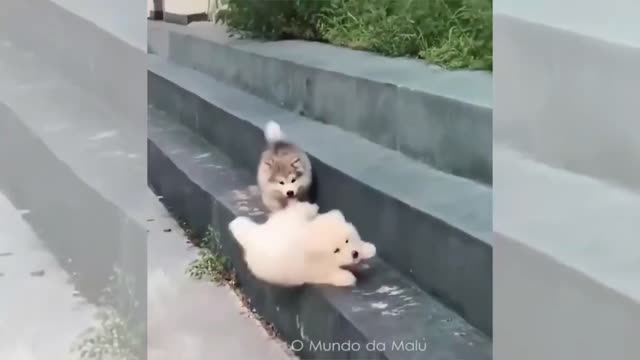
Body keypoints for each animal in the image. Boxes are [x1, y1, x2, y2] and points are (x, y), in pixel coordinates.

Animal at [228, 202, 376, 286]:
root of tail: (254, 233)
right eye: (336, 250)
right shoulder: (314, 270)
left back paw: (312, 207)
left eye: (347, 240)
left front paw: (368, 248)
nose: (354, 254)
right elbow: (331, 274)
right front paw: (347, 277)